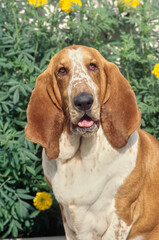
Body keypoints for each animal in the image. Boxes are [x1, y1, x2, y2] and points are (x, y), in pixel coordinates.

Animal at [25, 45, 159, 240]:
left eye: (93, 66)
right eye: (62, 71)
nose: (83, 101)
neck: (81, 155)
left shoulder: (121, 213)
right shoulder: (68, 218)